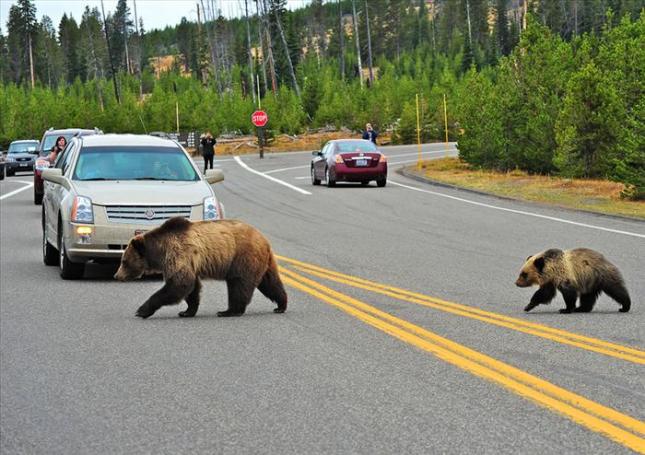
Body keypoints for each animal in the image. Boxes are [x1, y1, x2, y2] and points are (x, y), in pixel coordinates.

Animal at [114, 217, 288, 319]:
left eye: (124, 261)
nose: (117, 276)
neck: (160, 251)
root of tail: (264, 240)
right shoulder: (190, 262)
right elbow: (191, 289)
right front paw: (186, 311)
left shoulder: (178, 253)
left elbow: (179, 284)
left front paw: (141, 310)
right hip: (263, 262)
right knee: (270, 282)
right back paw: (281, 305)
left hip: (242, 256)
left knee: (239, 284)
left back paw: (229, 311)